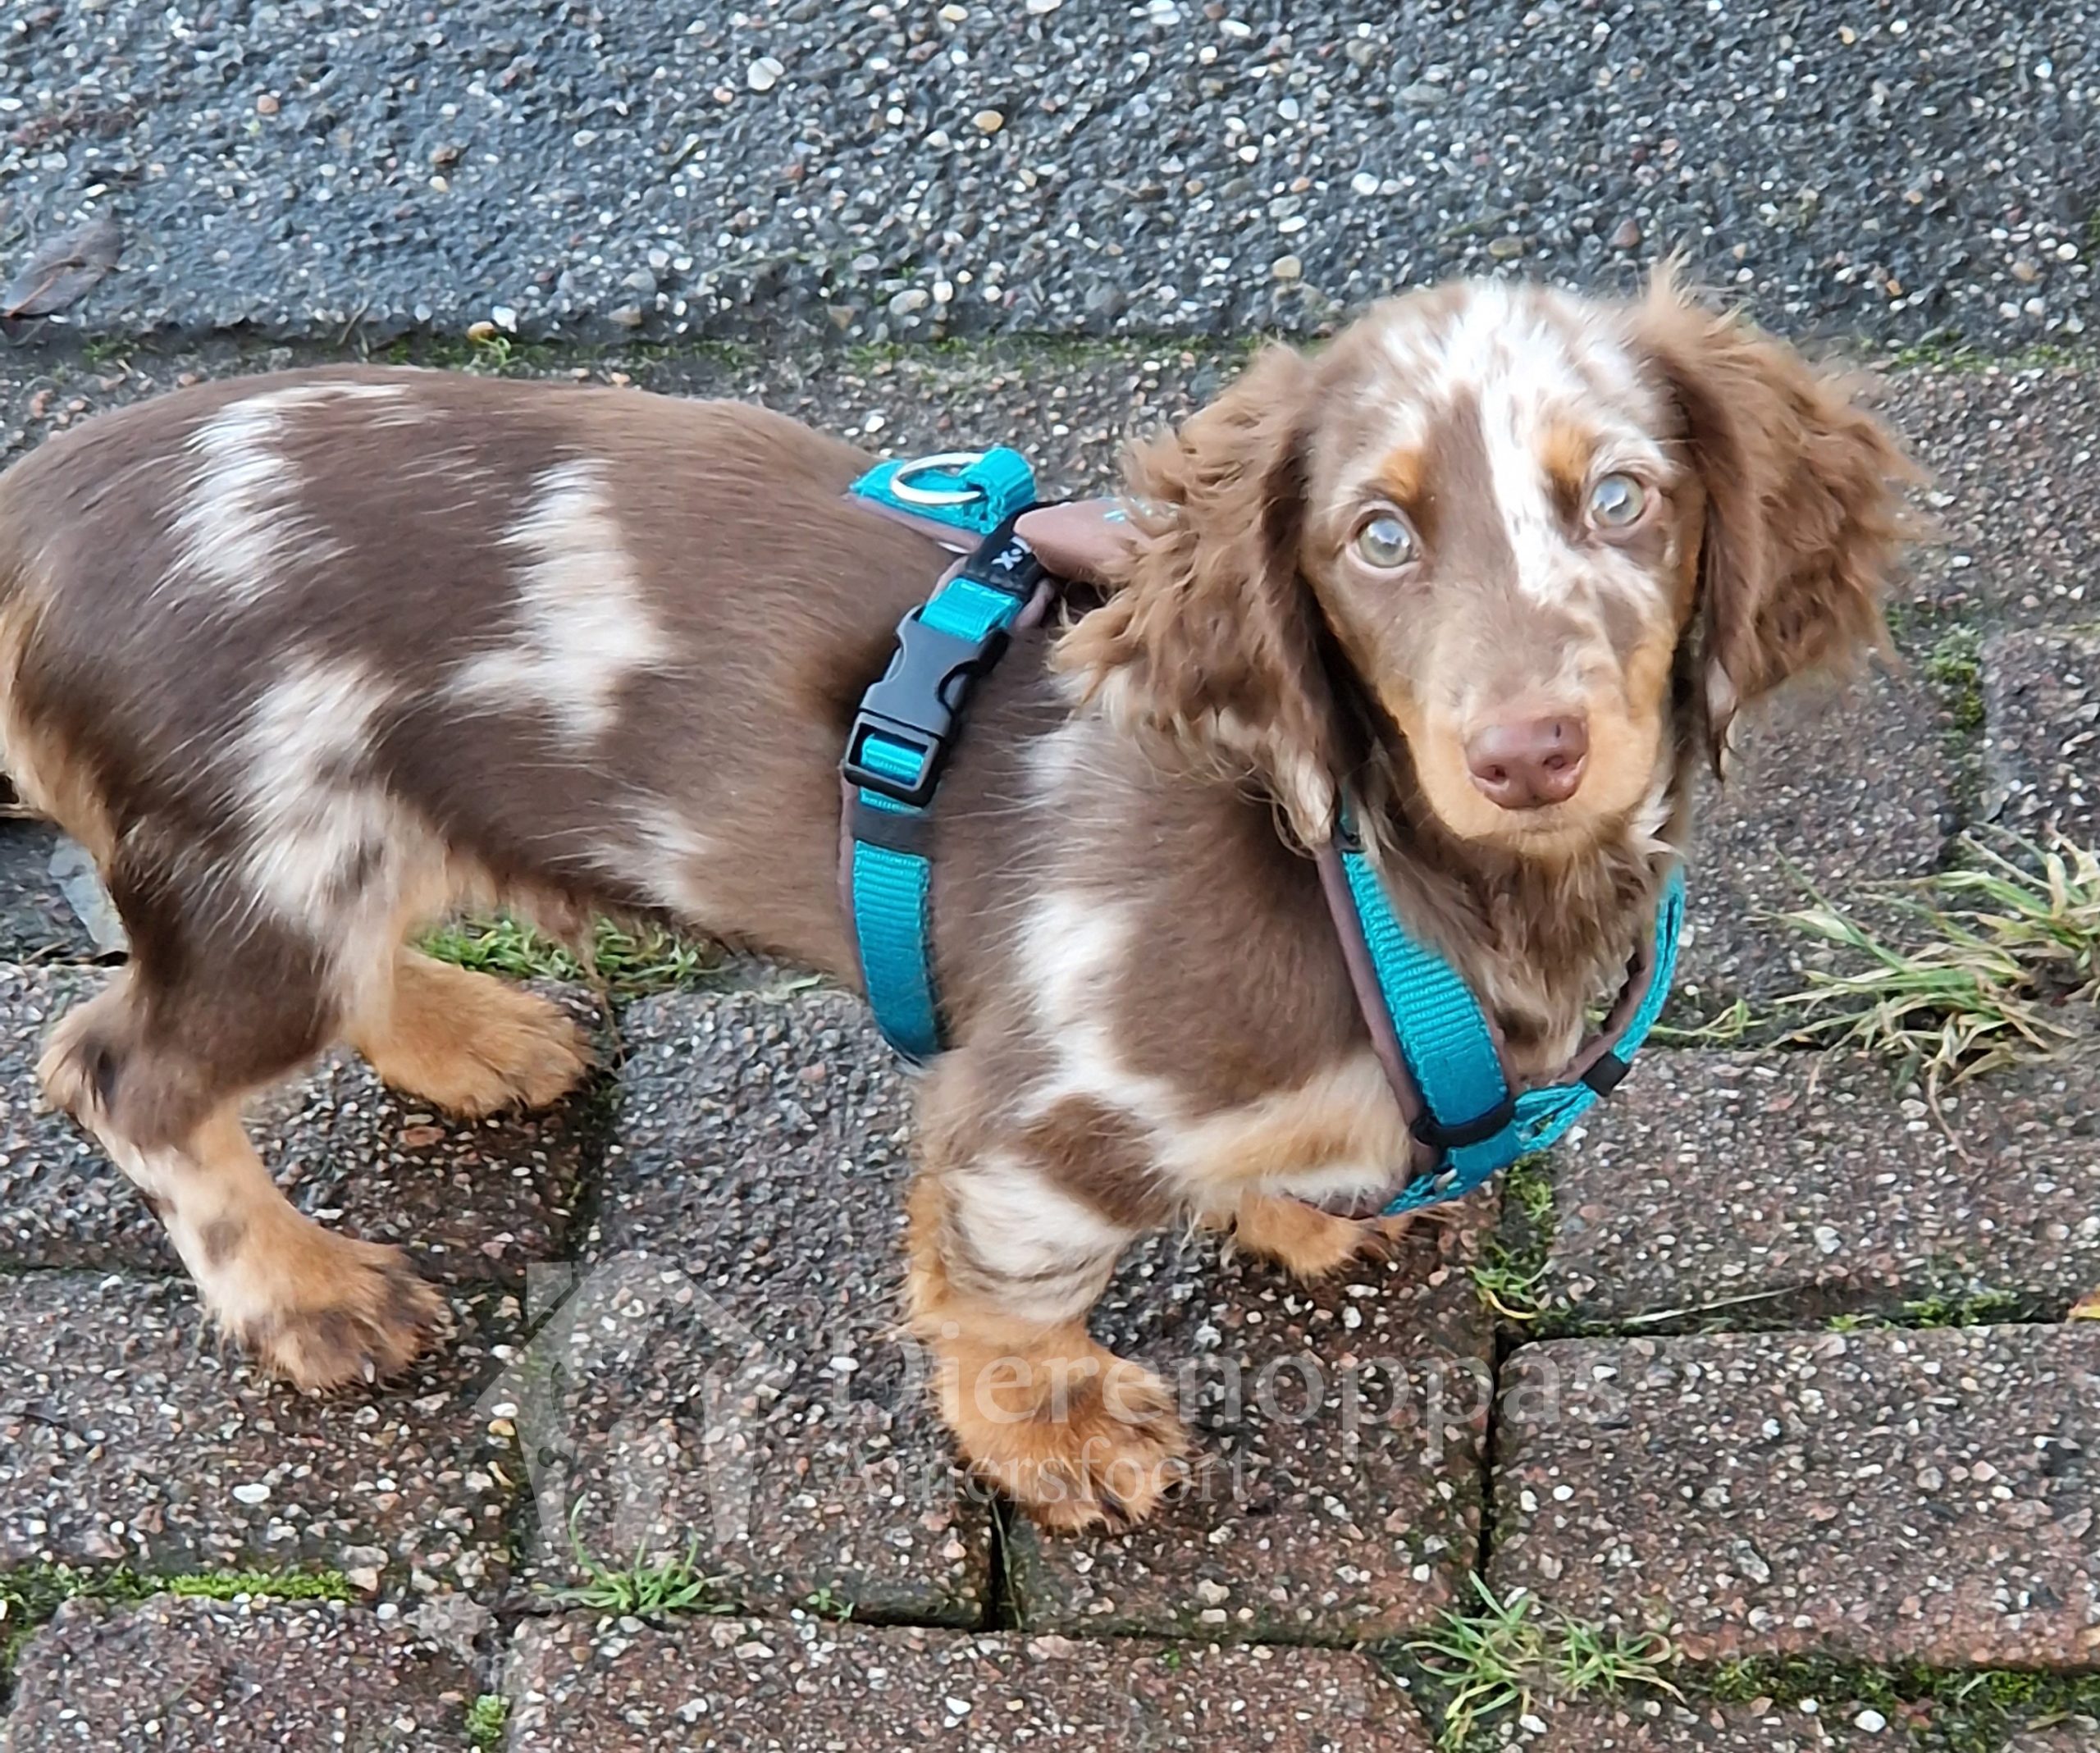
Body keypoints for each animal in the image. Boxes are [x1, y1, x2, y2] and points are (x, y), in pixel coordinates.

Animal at [0, 276, 1915, 1536]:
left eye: (1625, 499)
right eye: (1377, 537)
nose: (1527, 752)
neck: (1370, 870)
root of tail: (40, 504)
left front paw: (1300, 1205)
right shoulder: (1045, 1115)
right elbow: (1013, 1290)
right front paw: (1052, 1435)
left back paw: (474, 1036)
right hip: (261, 867)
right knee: (120, 1070)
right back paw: (308, 1293)